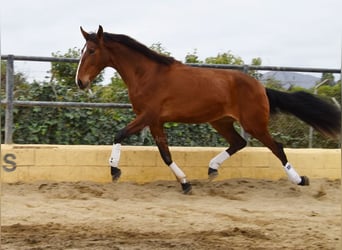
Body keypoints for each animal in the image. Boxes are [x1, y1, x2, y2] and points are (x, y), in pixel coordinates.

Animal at [76, 25, 340, 193]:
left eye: (92, 51)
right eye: (81, 51)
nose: (80, 82)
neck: (148, 75)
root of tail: (261, 87)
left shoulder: (147, 116)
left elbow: (119, 134)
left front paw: (114, 171)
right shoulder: (155, 121)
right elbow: (165, 154)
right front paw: (185, 184)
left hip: (253, 123)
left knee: (277, 147)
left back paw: (300, 180)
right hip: (221, 121)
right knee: (239, 143)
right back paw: (212, 168)